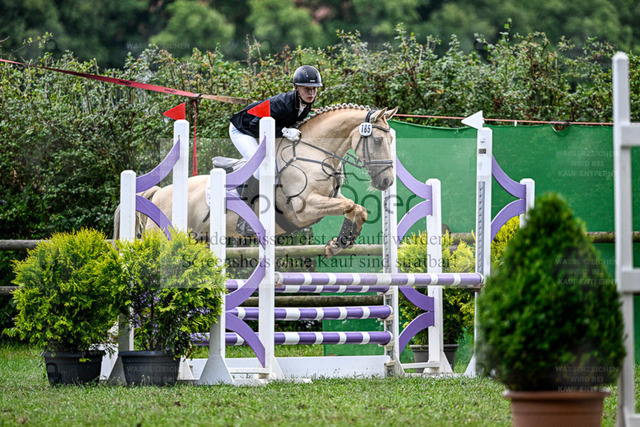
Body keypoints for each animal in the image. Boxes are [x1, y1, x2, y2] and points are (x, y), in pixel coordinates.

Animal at [120, 104, 397, 258]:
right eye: (377, 141)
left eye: (391, 140)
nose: (386, 182)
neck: (313, 153)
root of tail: (159, 193)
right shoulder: (304, 210)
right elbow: (350, 205)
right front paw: (338, 243)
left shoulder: (330, 198)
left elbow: (357, 208)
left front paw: (339, 243)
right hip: (163, 236)